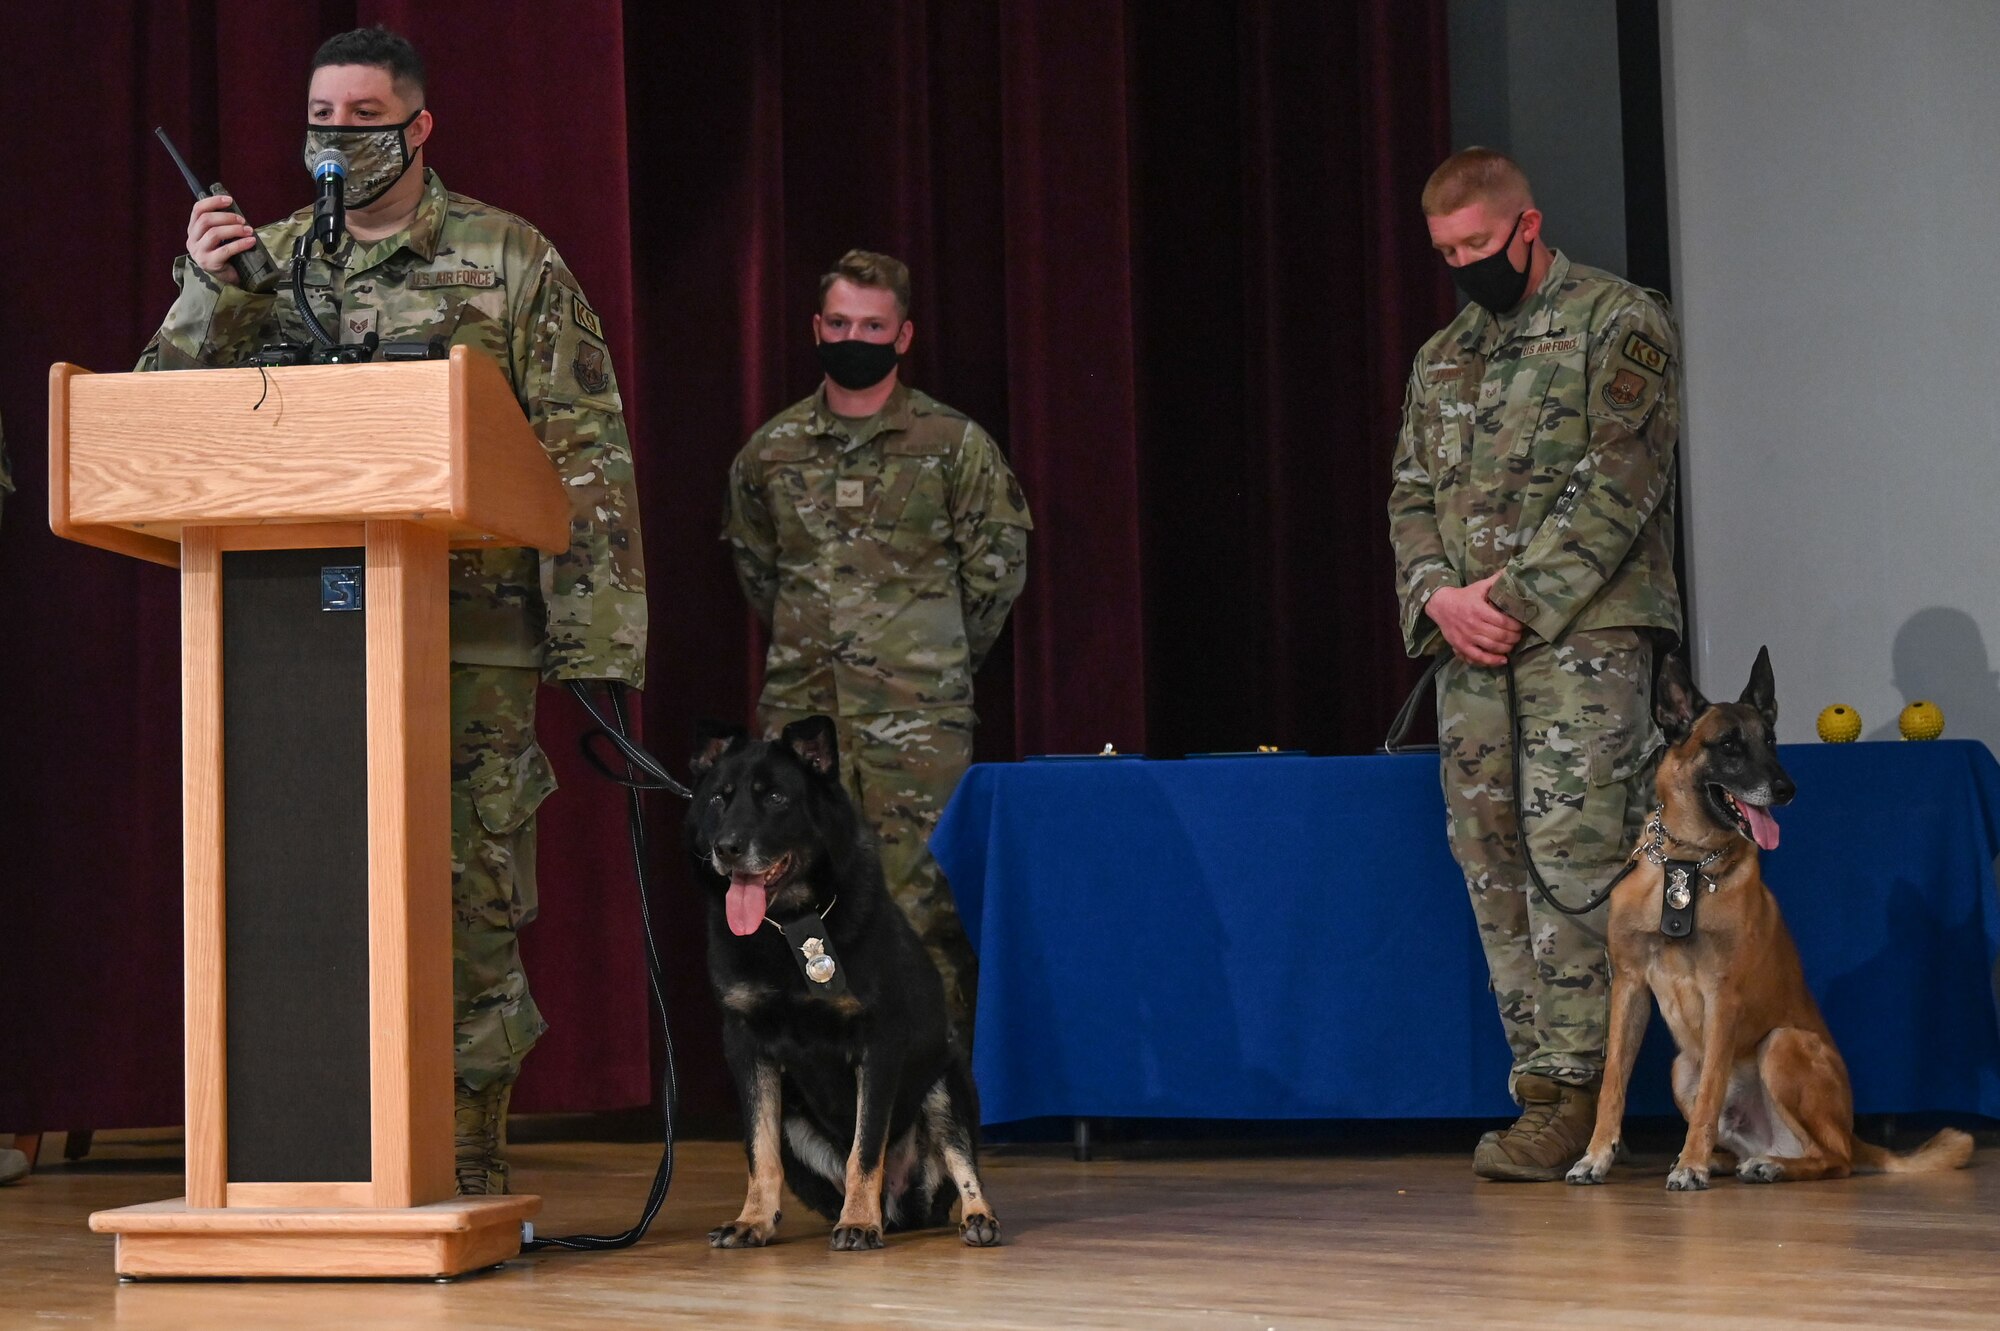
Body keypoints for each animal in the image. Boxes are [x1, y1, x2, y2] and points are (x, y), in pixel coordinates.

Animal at [688, 715, 1000, 1247]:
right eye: (717, 799)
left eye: (776, 798)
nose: (725, 849)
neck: (790, 925)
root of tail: (903, 1207)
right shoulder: (747, 1047)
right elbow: (759, 1151)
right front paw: (753, 1219)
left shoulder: (879, 1042)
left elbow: (866, 1147)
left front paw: (857, 1220)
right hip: (794, 1119)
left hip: (945, 1084)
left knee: (961, 1159)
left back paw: (974, 1218)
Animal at [1568, 647, 1976, 1183]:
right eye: (1728, 745)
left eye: (1772, 742)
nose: (1787, 789)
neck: (1688, 862)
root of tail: (1851, 1132)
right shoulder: (1630, 987)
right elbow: (1613, 1083)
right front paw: (1597, 1155)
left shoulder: (1723, 998)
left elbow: (1711, 1092)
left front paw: (1690, 1167)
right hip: (1681, 1068)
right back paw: (1724, 1158)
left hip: (1783, 1044)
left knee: (1835, 1159)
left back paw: (1764, 1165)